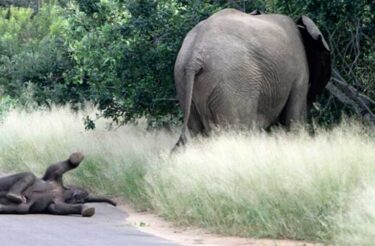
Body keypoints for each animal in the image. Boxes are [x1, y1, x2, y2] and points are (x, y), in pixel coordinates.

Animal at [174, 8, 332, 148]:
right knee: (238, 129)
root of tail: (194, 58)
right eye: (325, 60)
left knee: (196, 131)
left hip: (183, 80)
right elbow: (295, 118)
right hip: (233, 84)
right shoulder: (299, 71)